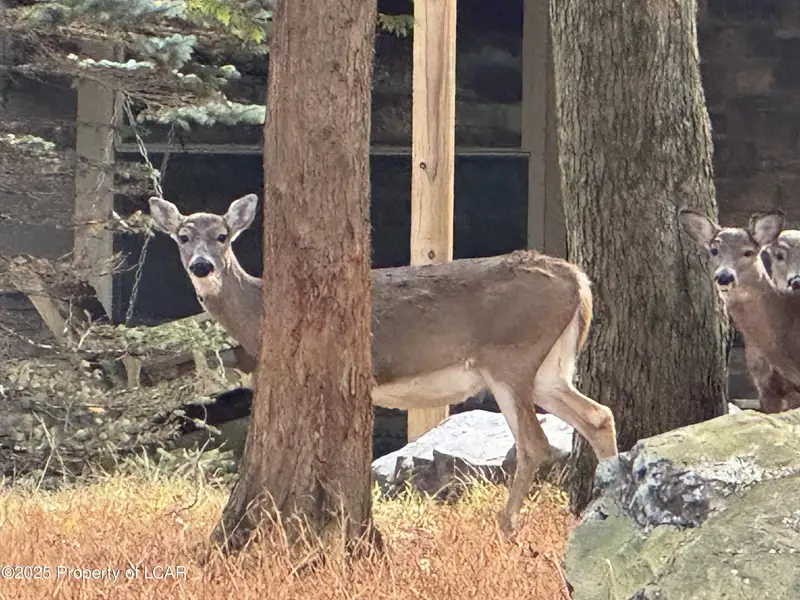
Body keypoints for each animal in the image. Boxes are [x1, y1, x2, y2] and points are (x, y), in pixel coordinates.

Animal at [148, 193, 619, 533]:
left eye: (223, 235)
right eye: (183, 237)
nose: (202, 266)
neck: (260, 313)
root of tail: (578, 278)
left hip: (512, 357)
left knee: (534, 442)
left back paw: (506, 526)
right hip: (549, 369)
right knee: (598, 415)